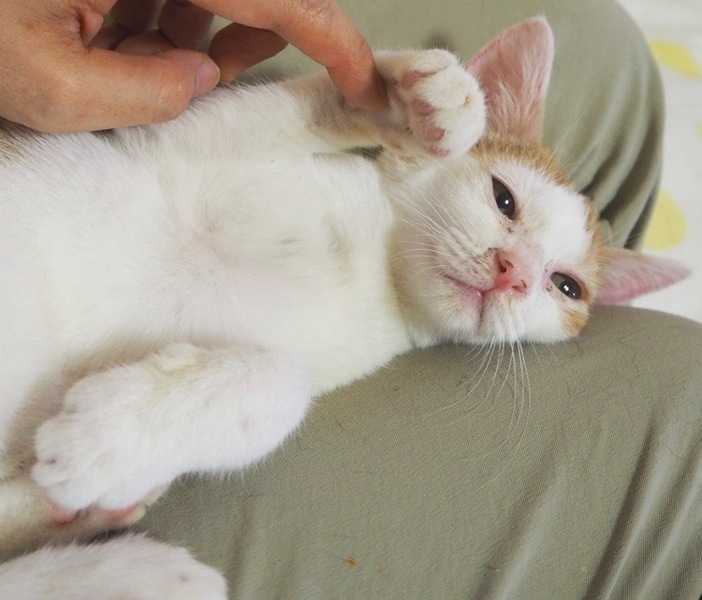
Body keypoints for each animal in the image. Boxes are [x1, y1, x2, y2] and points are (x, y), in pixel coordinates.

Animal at [0, 17, 687, 599]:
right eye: (503, 198)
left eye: (566, 287)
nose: (513, 273)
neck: (375, 271)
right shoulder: (177, 144)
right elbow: (306, 103)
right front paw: (423, 101)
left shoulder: (324, 352)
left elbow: (284, 383)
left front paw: (108, 438)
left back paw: (115, 561)